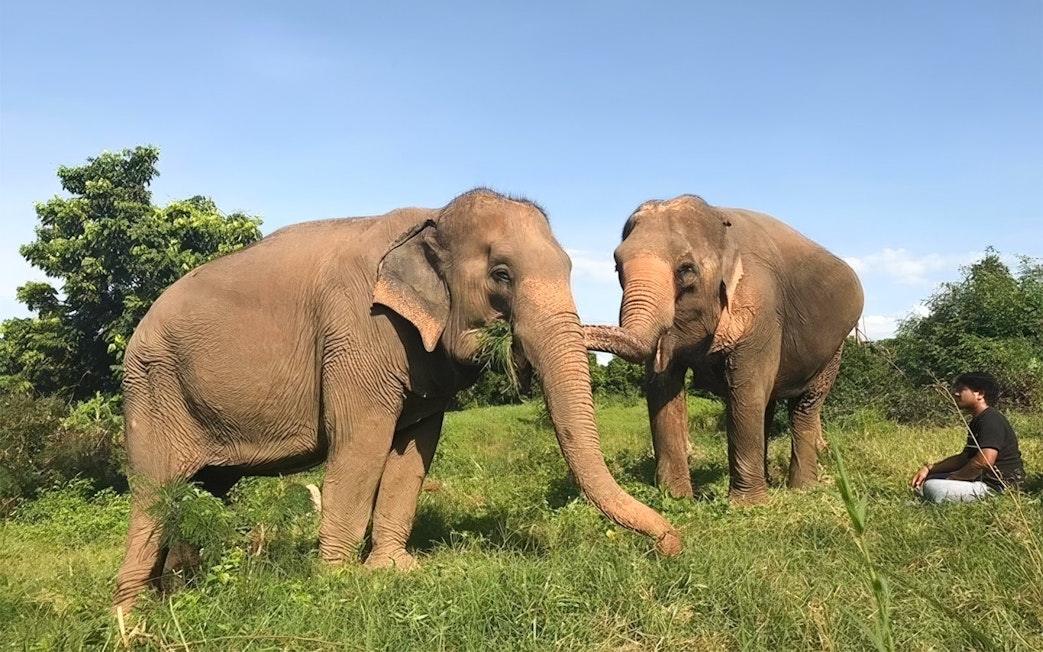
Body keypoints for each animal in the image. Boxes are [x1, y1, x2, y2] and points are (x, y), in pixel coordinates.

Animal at [114, 188, 680, 610]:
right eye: (500, 274)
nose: (672, 546)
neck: (430, 220)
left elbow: (414, 450)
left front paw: (395, 569)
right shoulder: (358, 332)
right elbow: (362, 445)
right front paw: (340, 582)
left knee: (202, 491)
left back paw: (186, 592)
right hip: (151, 390)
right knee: (154, 496)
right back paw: (134, 618)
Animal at [584, 195, 864, 503]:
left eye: (686, 270)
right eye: (617, 268)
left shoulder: (760, 302)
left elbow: (746, 388)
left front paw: (747, 507)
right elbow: (663, 388)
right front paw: (677, 500)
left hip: (834, 348)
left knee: (804, 406)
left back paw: (802, 489)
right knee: (766, 405)